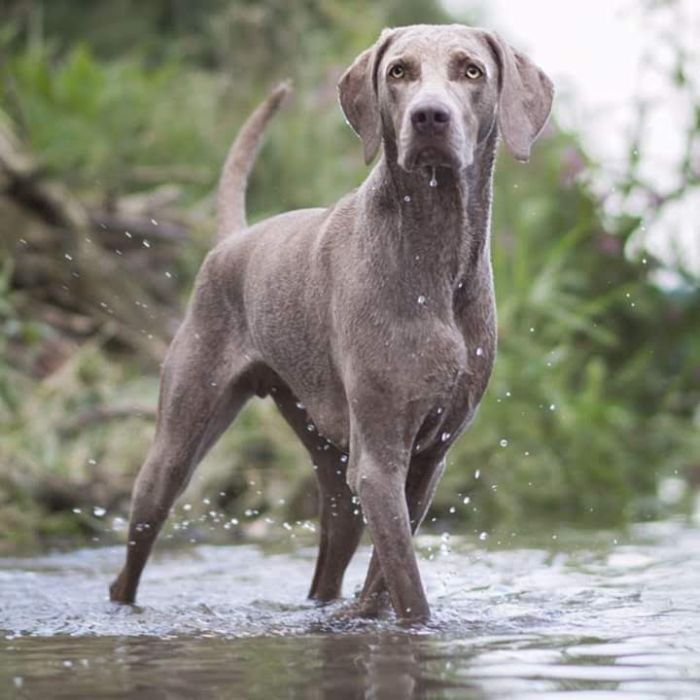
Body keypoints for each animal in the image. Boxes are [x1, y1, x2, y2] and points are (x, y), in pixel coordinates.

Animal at [109, 23, 556, 624]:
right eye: (399, 71)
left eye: (471, 70)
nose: (429, 116)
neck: (434, 259)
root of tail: (232, 241)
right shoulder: (380, 461)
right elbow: (407, 584)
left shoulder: (428, 458)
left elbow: (386, 574)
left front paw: (368, 612)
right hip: (177, 442)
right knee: (134, 550)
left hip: (329, 463)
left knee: (329, 560)